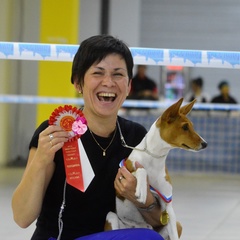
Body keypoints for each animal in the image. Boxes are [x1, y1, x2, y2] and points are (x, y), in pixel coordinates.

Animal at [106, 98, 207, 240]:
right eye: (185, 127)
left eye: (191, 126)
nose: (205, 144)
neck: (154, 160)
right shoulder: (122, 178)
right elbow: (141, 170)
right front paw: (142, 190)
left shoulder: (167, 206)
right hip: (111, 216)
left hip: (177, 225)